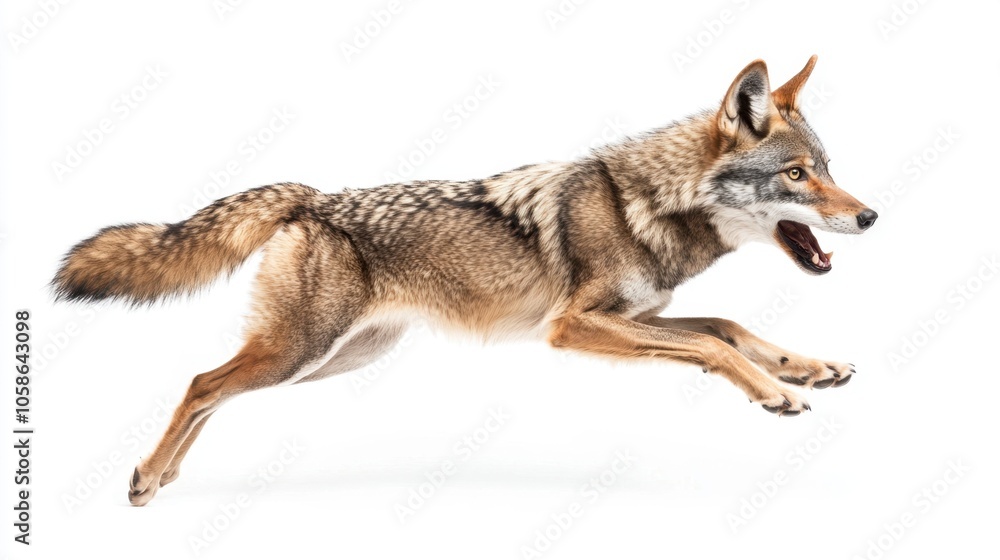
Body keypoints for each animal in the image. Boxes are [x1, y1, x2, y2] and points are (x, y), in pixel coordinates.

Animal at [53, 56, 877, 506]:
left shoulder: (637, 317)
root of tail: (310, 196)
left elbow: (727, 329)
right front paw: (773, 390)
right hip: (300, 354)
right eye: (797, 175)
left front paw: (806, 367)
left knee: (211, 389)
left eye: (828, 168)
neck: (646, 201)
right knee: (200, 382)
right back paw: (145, 477)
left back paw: (159, 479)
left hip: (325, 363)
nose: (870, 216)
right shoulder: (572, 327)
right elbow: (712, 347)